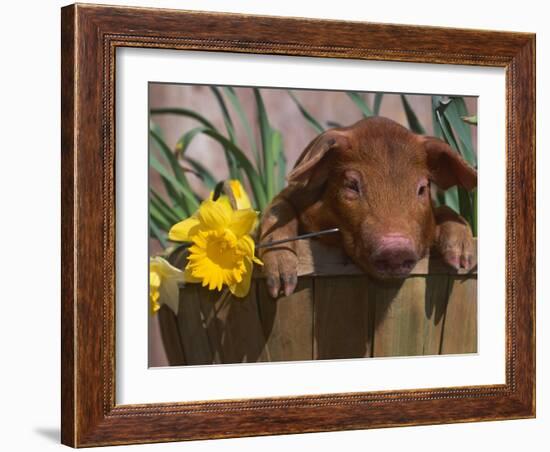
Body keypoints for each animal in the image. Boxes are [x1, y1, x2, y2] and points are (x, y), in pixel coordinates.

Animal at [260, 115, 478, 296]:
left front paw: (462, 261)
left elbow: (446, 211)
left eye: (422, 188)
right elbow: (277, 211)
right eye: (351, 185)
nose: (396, 248)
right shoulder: (295, 195)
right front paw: (282, 287)